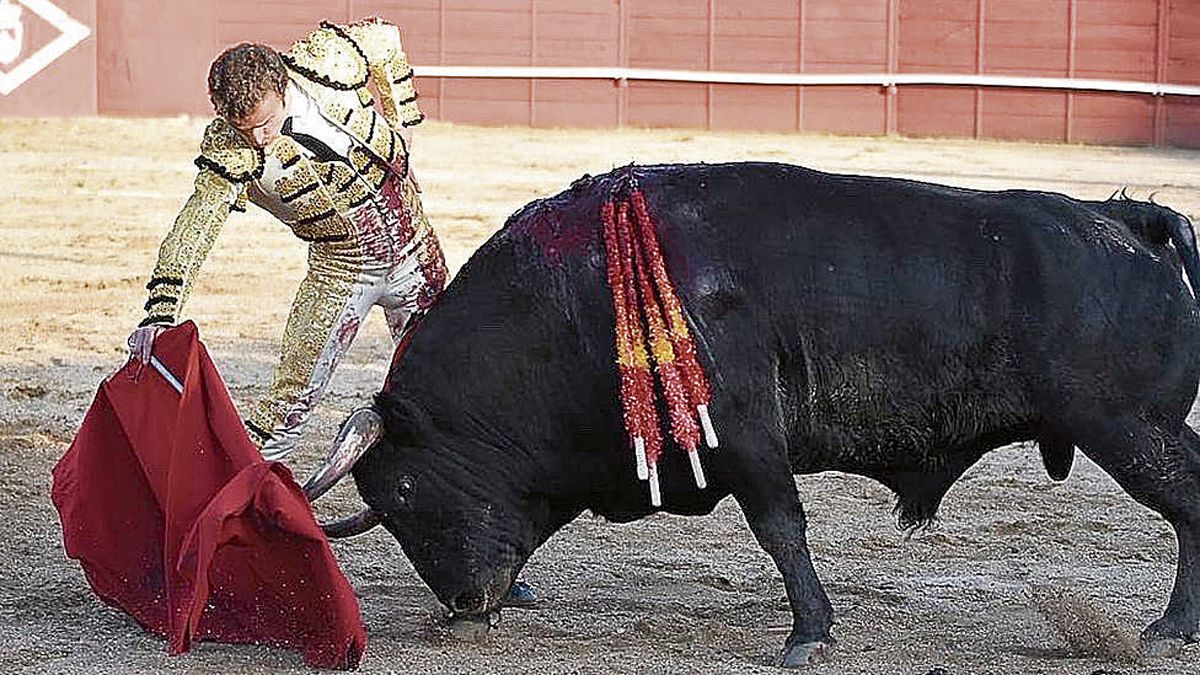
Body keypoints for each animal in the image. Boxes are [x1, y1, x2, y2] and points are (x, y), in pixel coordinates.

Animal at [333, 162, 1200, 662]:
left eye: (404, 494)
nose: (461, 605)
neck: (570, 301)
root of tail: (1127, 221)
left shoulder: (749, 435)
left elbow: (782, 528)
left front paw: (809, 634)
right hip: (1142, 428)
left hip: (1127, 428)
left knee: (1186, 504)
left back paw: (1169, 628)